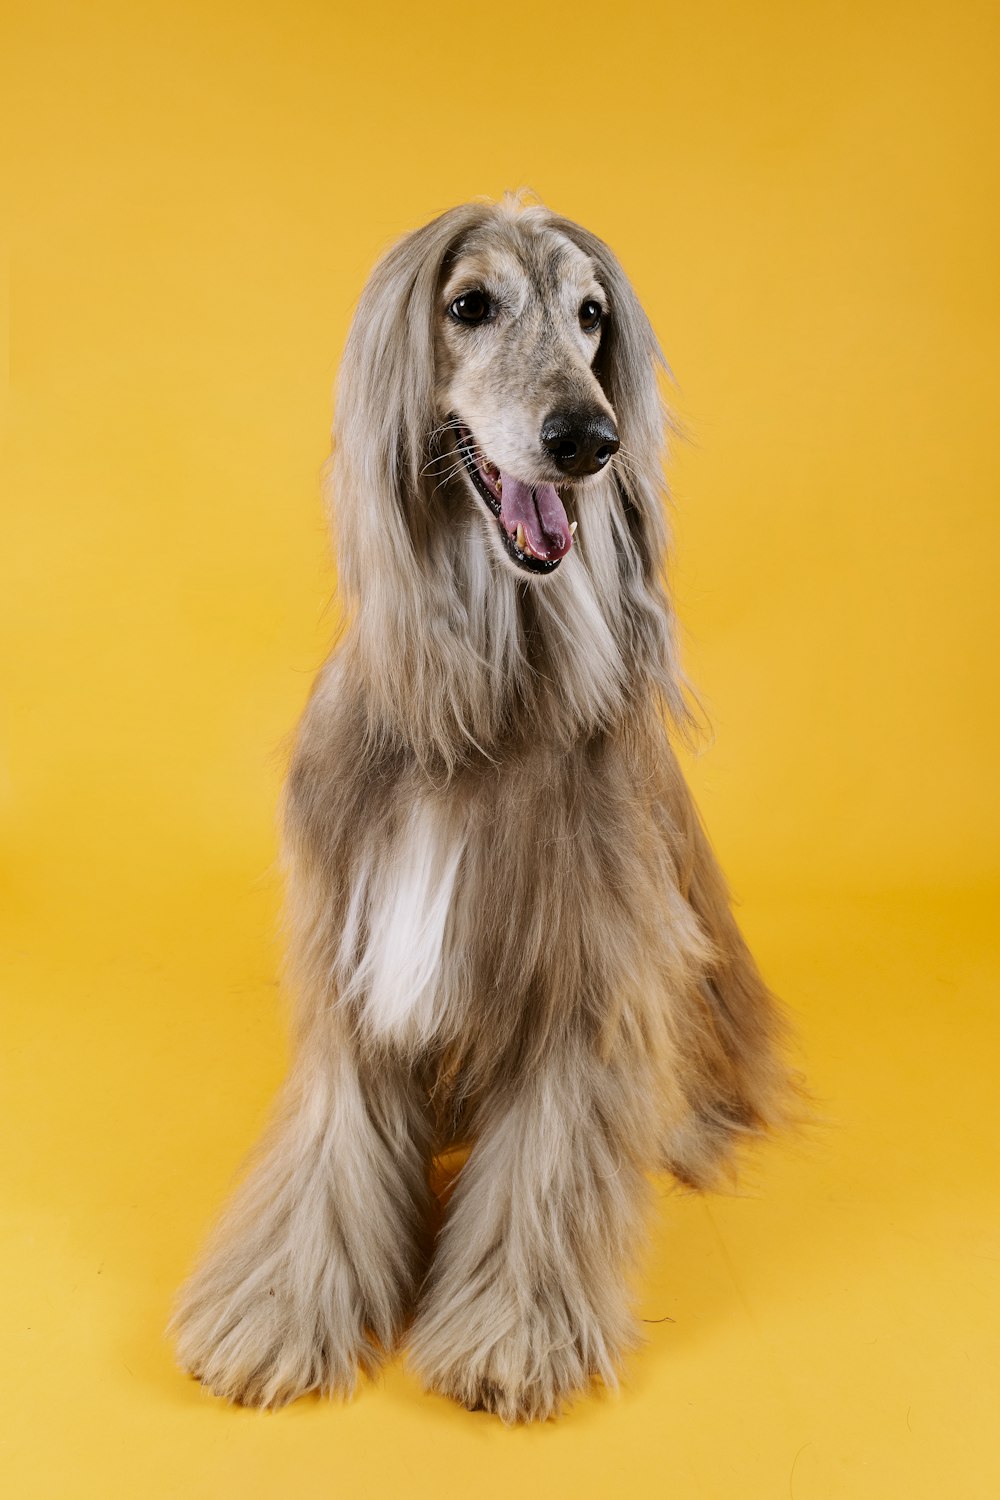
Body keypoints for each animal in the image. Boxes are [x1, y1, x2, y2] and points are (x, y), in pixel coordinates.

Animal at [173, 193, 797, 1422]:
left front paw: (511, 1334)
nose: (587, 439)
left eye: (593, 315)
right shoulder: (357, 958)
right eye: (470, 305)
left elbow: (543, 1164)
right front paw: (280, 1314)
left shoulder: (586, 968)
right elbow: (333, 1151)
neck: (485, 697)